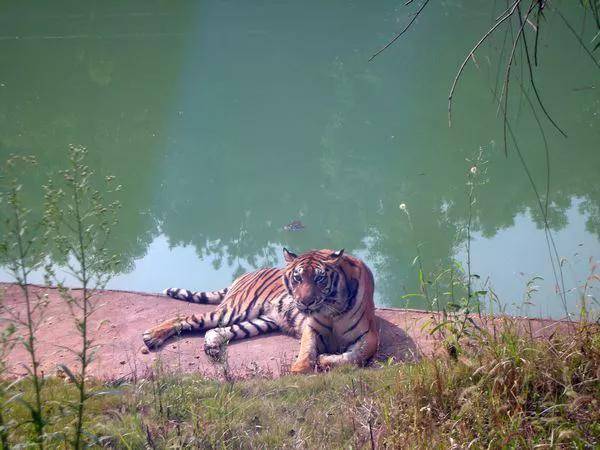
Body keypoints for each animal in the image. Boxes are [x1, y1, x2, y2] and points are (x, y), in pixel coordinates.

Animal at [141, 248, 378, 370]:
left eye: (320, 278)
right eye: (298, 278)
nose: (305, 302)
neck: (332, 309)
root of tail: (246, 273)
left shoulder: (370, 337)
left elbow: (356, 357)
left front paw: (324, 359)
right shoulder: (312, 329)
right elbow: (306, 354)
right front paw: (299, 370)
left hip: (261, 321)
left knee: (215, 330)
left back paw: (212, 348)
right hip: (234, 310)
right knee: (187, 318)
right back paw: (151, 336)